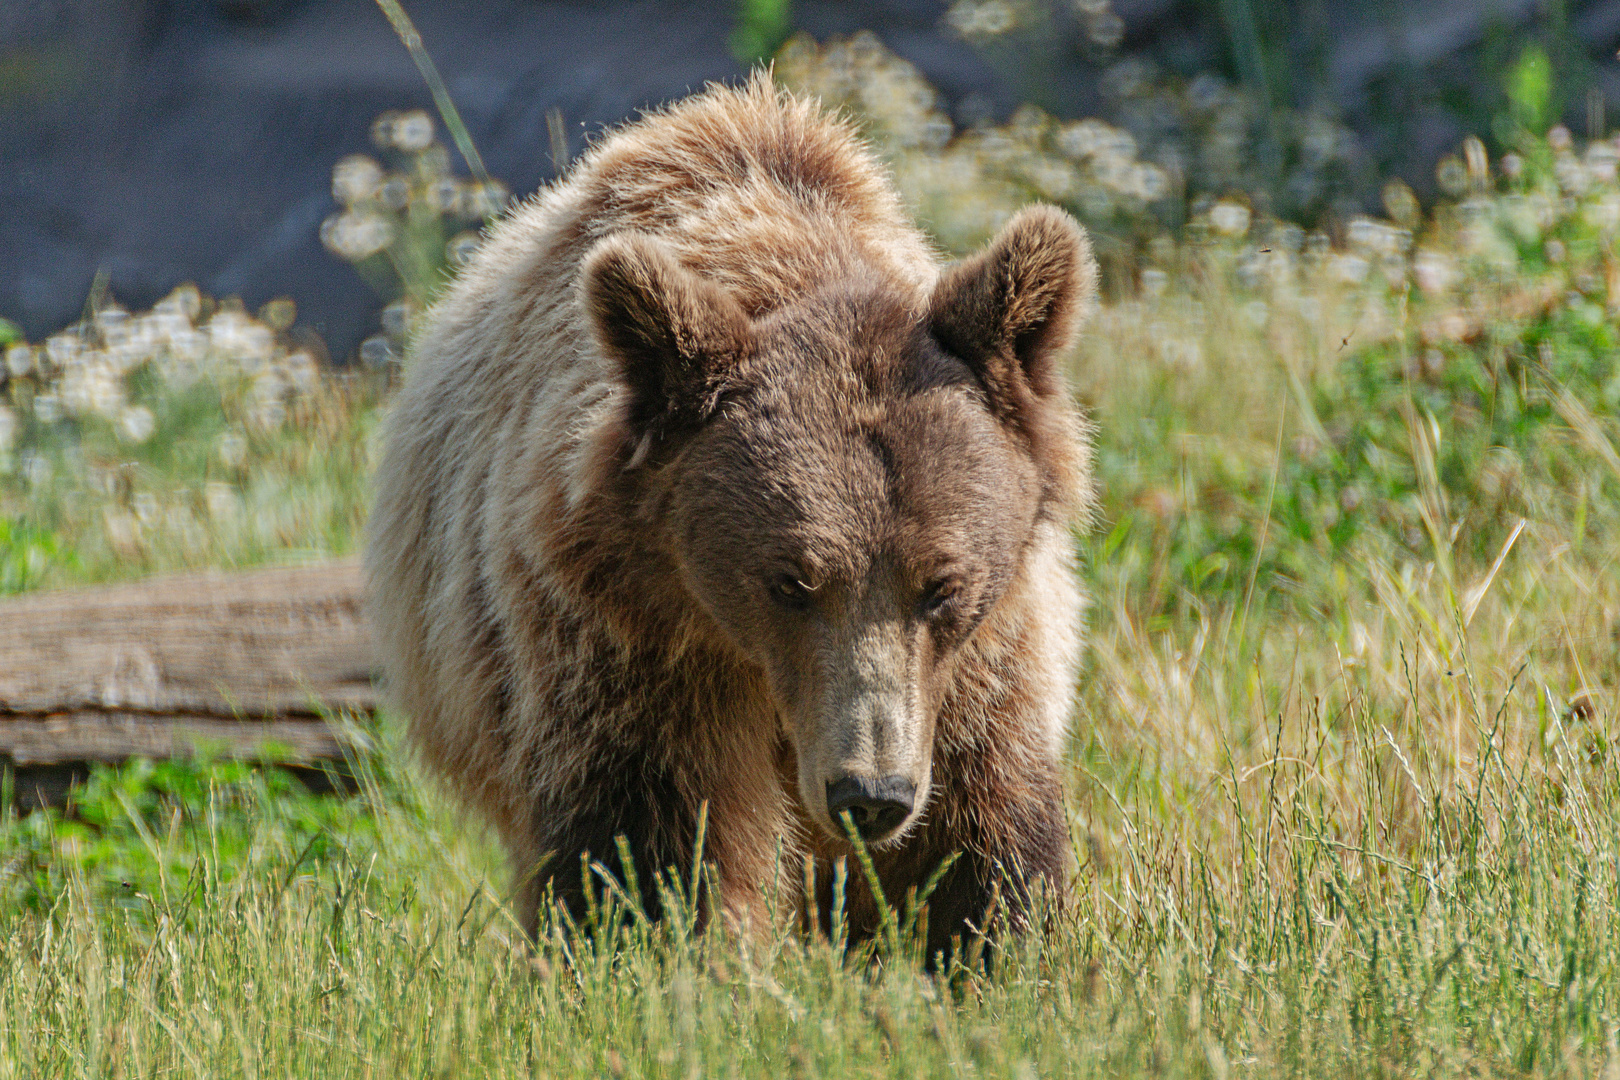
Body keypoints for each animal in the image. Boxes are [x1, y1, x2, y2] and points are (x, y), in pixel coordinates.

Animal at [367, 76, 1101, 965]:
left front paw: (982, 945)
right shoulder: (627, 642)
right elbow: (654, 842)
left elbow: (975, 825)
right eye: (790, 581)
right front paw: (662, 952)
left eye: (942, 584)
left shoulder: (983, 658)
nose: (869, 793)